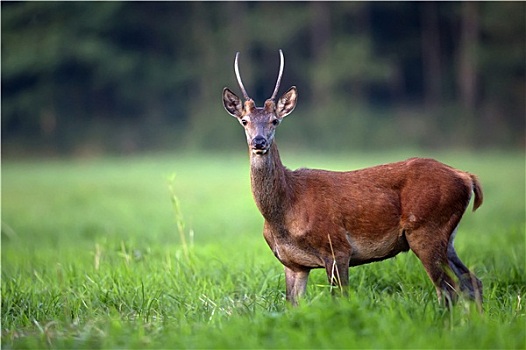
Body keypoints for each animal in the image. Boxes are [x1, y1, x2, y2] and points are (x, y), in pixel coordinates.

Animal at [221, 49, 484, 306]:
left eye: (275, 120)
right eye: (244, 121)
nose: (259, 142)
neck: (286, 210)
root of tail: (466, 177)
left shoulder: (337, 247)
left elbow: (341, 299)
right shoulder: (293, 264)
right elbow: (291, 306)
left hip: (426, 228)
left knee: (449, 289)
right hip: (446, 237)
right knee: (472, 282)